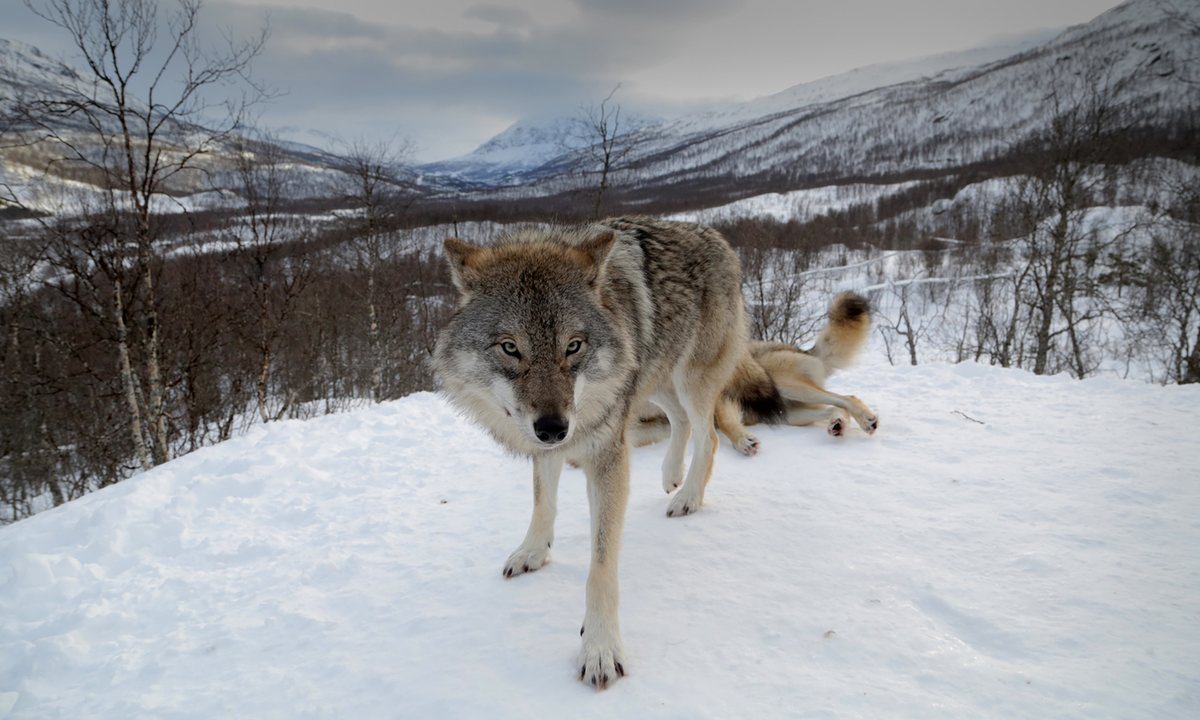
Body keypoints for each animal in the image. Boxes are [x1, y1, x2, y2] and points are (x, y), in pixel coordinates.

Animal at [433, 217, 746, 689]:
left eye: (573, 346)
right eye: (510, 347)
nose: (553, 428)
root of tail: (713, 233)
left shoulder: (606, 453)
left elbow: (600, 569)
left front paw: (600, 649)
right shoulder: (552, 442)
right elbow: (542, 501)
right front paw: (533, 551)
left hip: (688, 378)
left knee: (707, 434)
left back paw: (688, 496)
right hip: (650, 377)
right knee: (680, 421)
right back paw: (671, 475)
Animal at [629, 292, 879, 453]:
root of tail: (801, 348)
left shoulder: (718, 398)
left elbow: (726, 425)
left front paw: (743, 441)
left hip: (787, 386)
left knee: (847, 398)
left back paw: (866, 420)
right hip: (787, 414)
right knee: (834, 408)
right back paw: (837, 424)